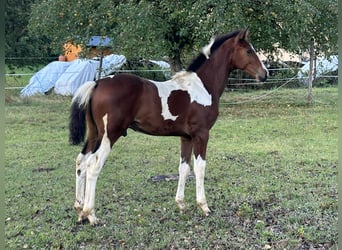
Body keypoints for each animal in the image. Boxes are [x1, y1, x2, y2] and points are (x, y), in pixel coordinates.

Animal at [69, 28, 268, 225]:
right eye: (248, 51)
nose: (265, 74)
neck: (202, 87)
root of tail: (98, 83)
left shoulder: (186, 137)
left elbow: (184, 168)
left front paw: (181, 205)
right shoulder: (201, 134)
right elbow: (200, 167)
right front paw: (204, 207)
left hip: (94, 134)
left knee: (81, 161)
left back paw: (80, 212)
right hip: (110, 135)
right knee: (93, 165)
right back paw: (91, 215)